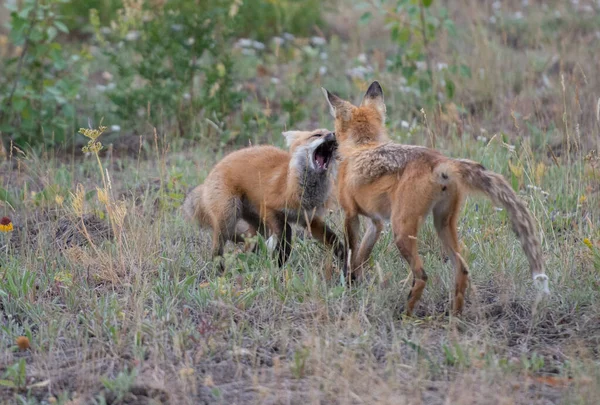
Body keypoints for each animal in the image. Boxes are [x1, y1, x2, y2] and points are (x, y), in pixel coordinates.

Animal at [182, 128, 346, 270]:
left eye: (330, 131)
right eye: (317, 135)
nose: (334, 133)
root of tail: (210, 173)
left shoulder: (310, 218)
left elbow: (333, 239)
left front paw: (345, 259)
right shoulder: (270, 209)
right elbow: (286, 231)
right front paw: (280, 263)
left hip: (259, 227)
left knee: (249, 247)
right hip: (228, 218)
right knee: (218, 248)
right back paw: (219, 270)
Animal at [324, 80, 548, 314]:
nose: (330, 137)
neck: (363, 145)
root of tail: (441, 160)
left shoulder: (350, 214)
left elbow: (350, 253)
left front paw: (348, 284)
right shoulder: (376, 223)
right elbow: (361, 257)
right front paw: (355, 282)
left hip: (401, 231)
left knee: (422, 275)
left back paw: (407, 314)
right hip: (443, 224)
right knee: (462, 269)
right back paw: (454, 317)